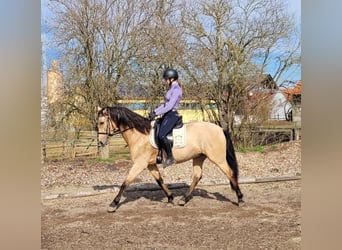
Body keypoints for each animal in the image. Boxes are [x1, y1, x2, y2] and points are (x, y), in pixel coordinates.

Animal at [97, 106, 243, 212]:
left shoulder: (140, 164)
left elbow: (125, 182)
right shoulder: (150, 164)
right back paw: (184, 199)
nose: (101, 142)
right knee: (197, 176)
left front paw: (113, 204)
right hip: (198, 157)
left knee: (230, 173)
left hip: (218, 158)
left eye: (102, 122)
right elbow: (159, 180)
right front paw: (170, 197)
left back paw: (240, 199)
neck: (140, 134)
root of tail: (220, 129)